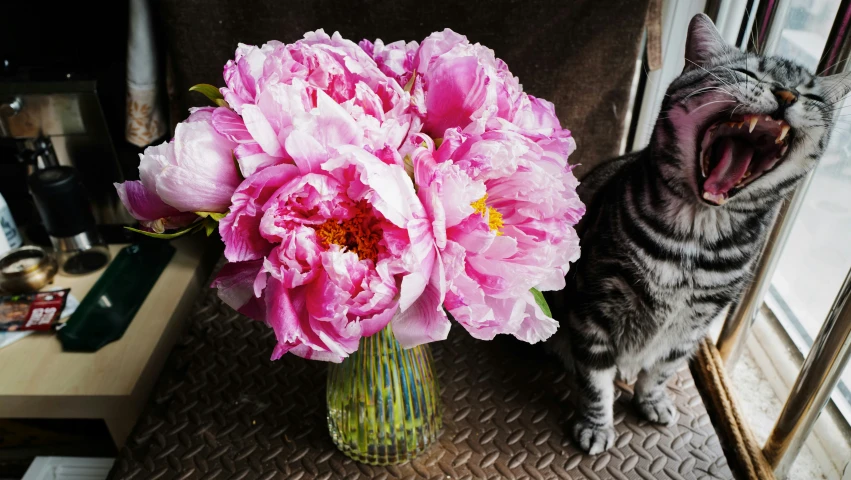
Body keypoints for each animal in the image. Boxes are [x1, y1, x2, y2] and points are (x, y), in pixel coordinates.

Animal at [544, 11, 851, 454]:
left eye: (811, 96)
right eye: (748, 71)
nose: (786, 94)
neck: (695, 237)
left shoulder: (694, 325)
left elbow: (660, 371)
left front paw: (651, 400)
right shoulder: (594, 305)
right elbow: (596, 381)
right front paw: (597, 424)